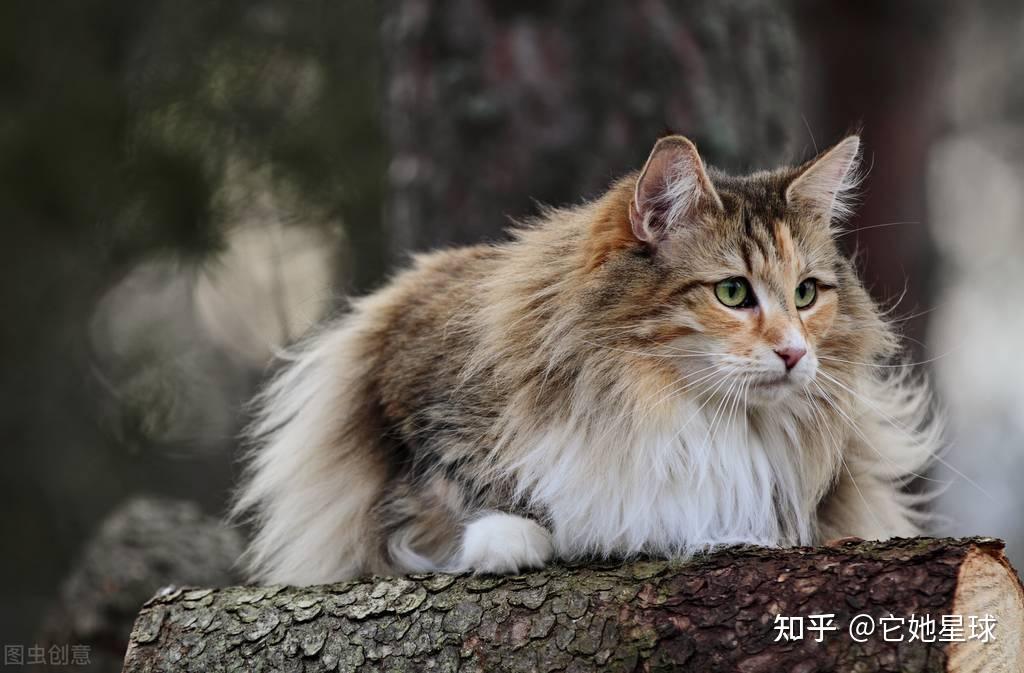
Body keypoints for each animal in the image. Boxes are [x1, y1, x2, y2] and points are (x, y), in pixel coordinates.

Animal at [232, 132, 937, 581]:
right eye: (734, 293)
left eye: (806, 294)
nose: (794, 352)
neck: (656, 402)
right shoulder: (401, 384)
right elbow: (456, 482)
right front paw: (507, 539)